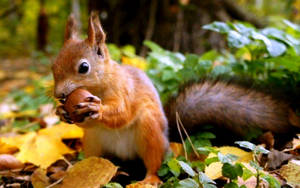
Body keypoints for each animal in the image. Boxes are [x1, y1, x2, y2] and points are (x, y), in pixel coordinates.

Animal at [51, 12, 300, 185]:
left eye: (84, 67)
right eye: (53, 66)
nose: (59, 94)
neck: (103, 84)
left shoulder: (126, 91)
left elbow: (122, 113)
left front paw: (99, 110)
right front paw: (61, 112)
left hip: (150, 133)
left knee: (153, 163)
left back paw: (148, 180)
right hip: (93, 143)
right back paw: (77, 171)